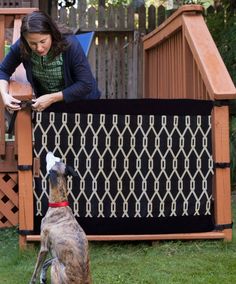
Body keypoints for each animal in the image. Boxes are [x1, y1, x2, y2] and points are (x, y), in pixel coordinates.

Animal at [30, 153, 91, 284]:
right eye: (58, 159)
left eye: (54, 160)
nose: (49, 152)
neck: (59, 204)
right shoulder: (53, 253)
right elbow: (45, 263)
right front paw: (43, 277)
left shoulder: (44, 247)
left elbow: (36, 270)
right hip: (57, 262)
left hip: (56, 266)